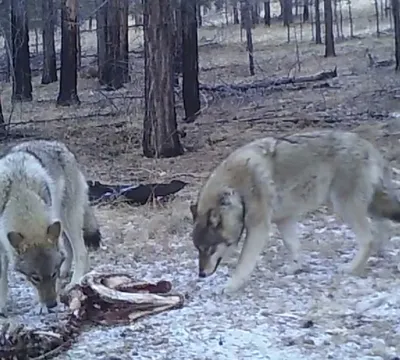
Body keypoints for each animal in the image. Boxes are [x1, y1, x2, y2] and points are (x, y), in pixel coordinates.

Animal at [0, 140, 101, 316]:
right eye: (35, 278)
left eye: (53, 274)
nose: (52, 304)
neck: (20, 193)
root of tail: (60, 145)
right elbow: (2, 277)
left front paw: (40, 304)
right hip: (59, 224)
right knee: (68, 251)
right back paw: (66, 272)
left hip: (67, 220)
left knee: (81, 252)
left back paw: (74, 281)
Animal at [189, 131, 400, 294]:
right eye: (198, 249)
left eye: (208, 249)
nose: (201, 274)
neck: (236, 190)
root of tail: (369, 147)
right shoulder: (284, 219)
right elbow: (293, 245)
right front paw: (296, 267)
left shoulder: (258, 228)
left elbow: (243, 263)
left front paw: (231, 286)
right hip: (367, 205)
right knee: (383, 227)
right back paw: (379, 252)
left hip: (344, 206)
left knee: (368, 237)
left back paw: (351, 267)